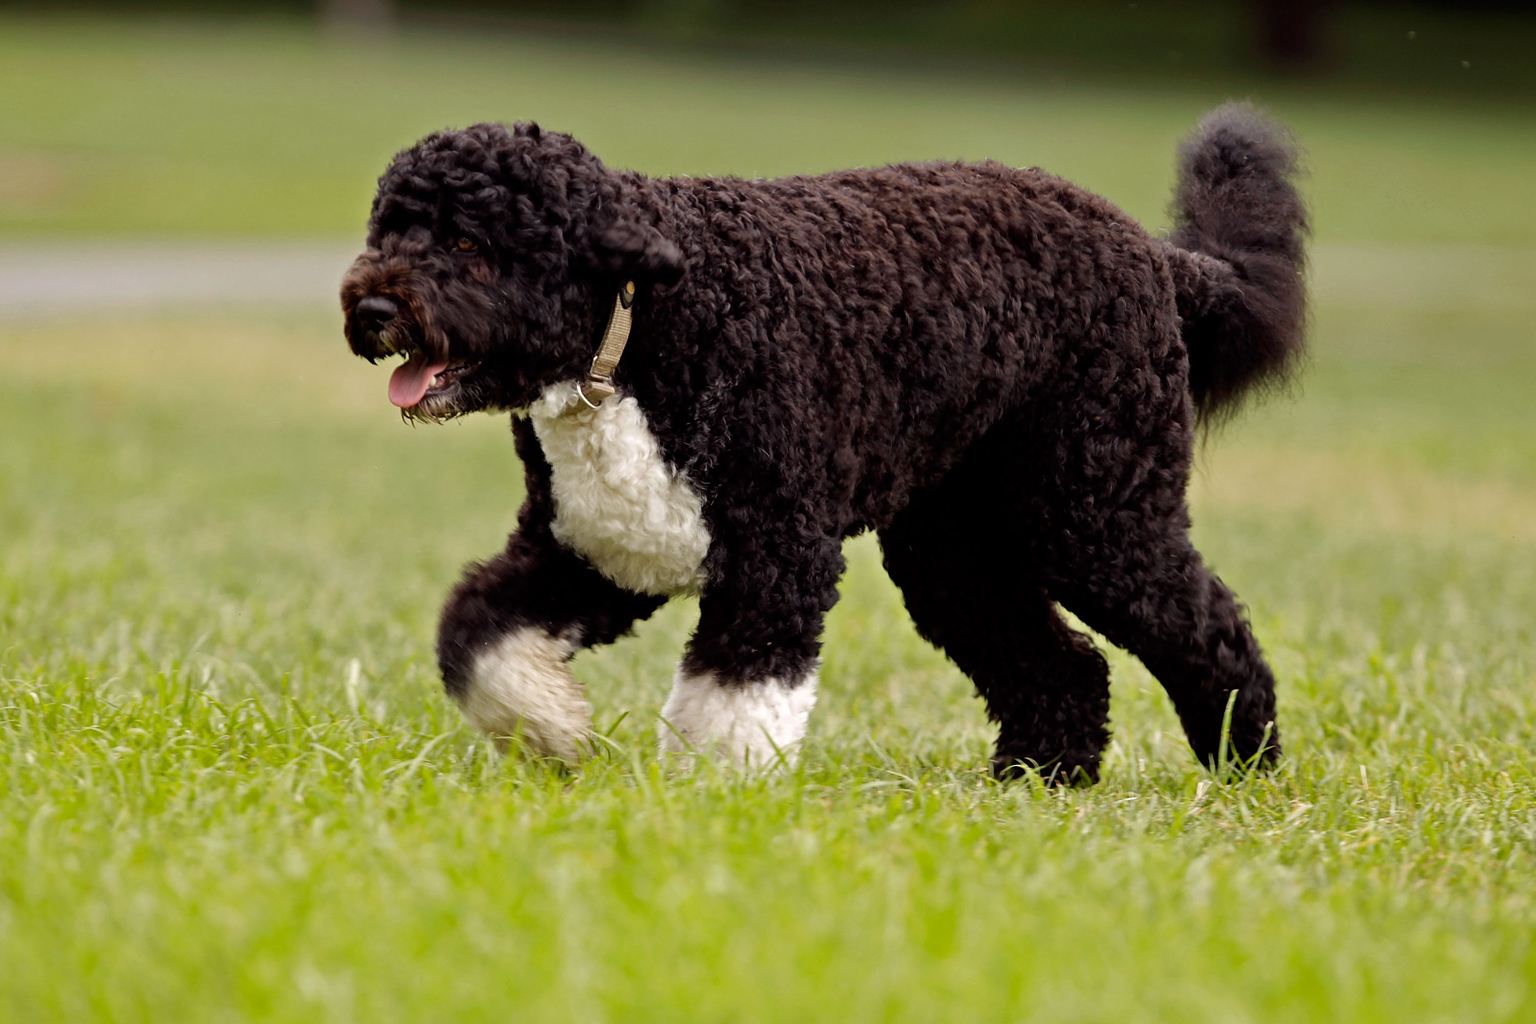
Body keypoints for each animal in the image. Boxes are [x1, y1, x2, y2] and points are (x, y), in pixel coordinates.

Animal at [339, 104, 1308, 779]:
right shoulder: (594, 549)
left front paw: (708, 806)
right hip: (954, 548)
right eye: (390, 228)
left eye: (470, 242)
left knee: (1209, 628)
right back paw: (1036, 783)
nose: (371, 307)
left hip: (1093, 512)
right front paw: (553, 731)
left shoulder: (778, 554)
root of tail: (1156, 255)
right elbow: (478, 636)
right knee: (1063, 666)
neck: (642, 330)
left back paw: (1243, 763)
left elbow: (734, 700)